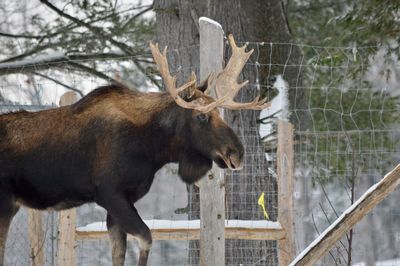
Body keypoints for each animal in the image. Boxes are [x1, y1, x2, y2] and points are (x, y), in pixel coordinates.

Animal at [0, 34, 272, 264]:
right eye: (201, 116)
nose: (237, 153)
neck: (153, 147)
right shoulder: (110, 194)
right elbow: (146, 238)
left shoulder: (121, 202)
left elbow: (120, 252)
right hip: (5, 202)